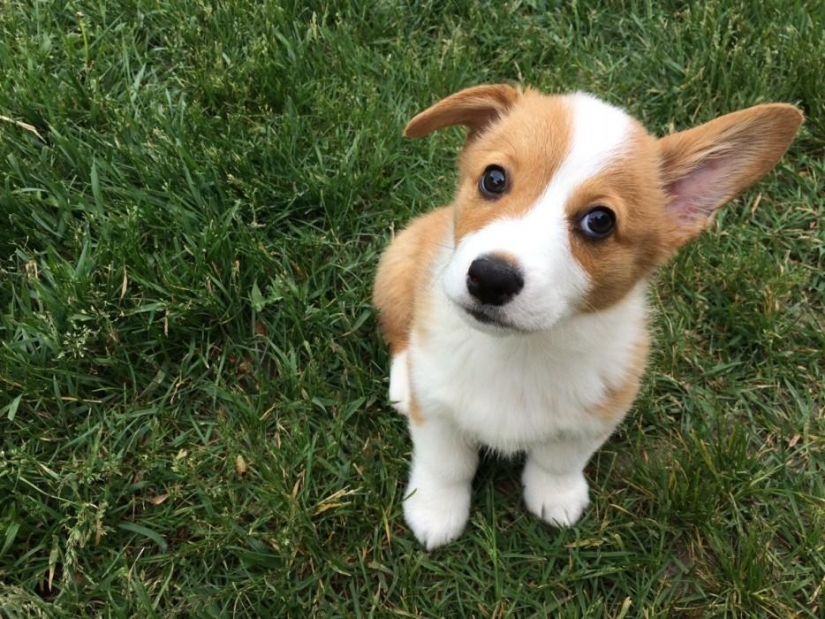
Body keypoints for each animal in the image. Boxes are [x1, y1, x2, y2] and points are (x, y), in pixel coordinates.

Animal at [372, 81, 800, 548]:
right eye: (494, 179)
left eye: (599, 221)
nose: (490, 278)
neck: (521, 350)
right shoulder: (437, 410)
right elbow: (446, 464)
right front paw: (434, 511)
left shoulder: (598, 414)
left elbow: (559, 460)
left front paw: (555, 498)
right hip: (397, 266)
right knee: (398, 331)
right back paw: (403, 381)